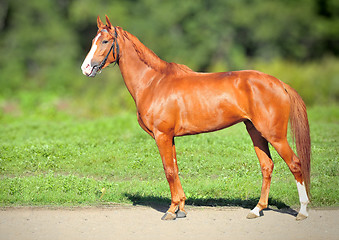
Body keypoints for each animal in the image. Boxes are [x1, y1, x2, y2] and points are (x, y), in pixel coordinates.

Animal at [81, 15, 310, 220]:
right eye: (92, 40)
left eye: (105, 41)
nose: (85, 68)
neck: (154, 82)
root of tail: (279, 83)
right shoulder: (170, 137)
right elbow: (175, 169)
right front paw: (181, 208)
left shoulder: (162, 135)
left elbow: (169, 171)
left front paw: (171, 211)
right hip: (255, 131)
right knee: (267, 166)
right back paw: (257, 209)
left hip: (274, 135)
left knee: (295, 164)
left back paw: (303, 211)